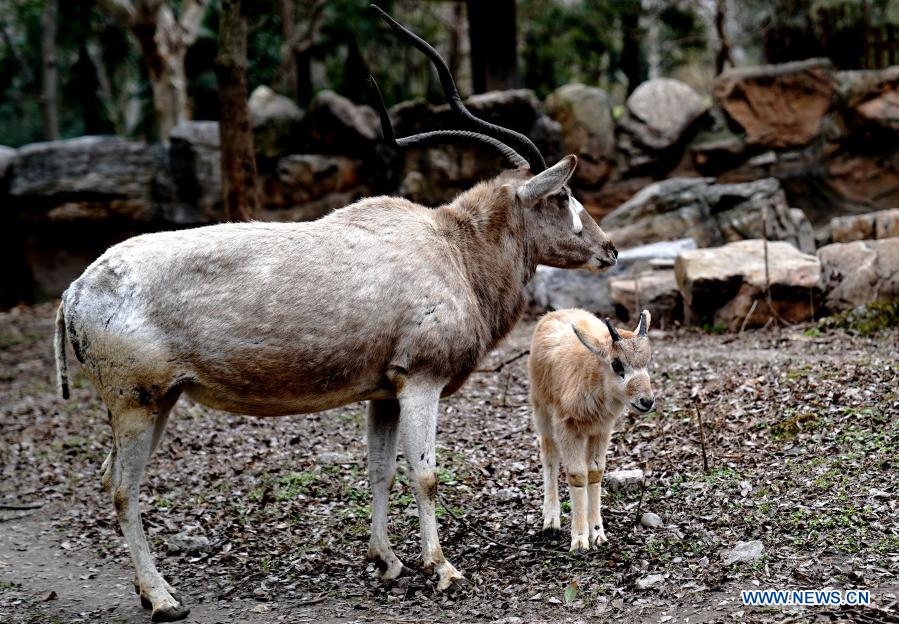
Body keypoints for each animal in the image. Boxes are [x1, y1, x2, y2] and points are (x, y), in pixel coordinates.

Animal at [528, 308, 652, 552]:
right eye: (617, 364)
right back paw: (551, 519)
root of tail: (553, 314)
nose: (647, 401)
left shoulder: (601, 429)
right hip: (541, 410)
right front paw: (579, 540)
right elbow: (577, 475)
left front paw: (597, 534)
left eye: (648, 360)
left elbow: (595, 472)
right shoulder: (567, 427)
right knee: (549, 455)